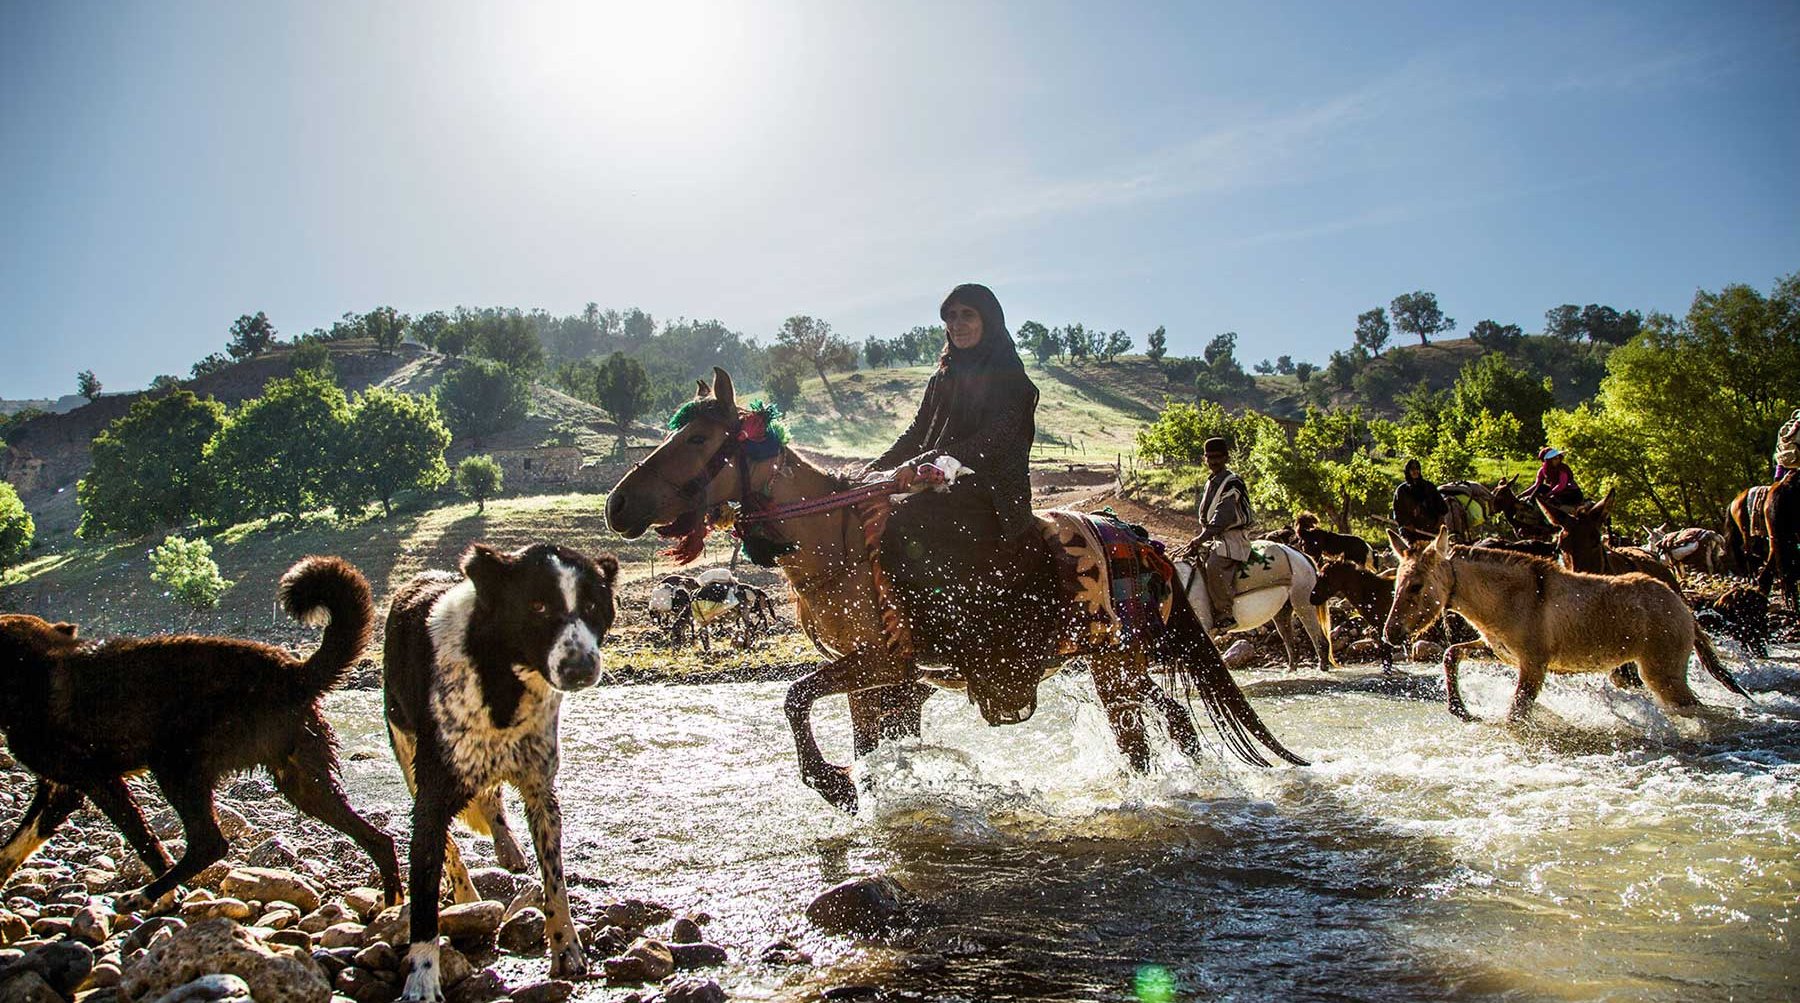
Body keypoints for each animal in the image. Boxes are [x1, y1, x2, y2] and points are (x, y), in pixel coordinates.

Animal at [383, 543, 615, 993]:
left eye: (593, 606)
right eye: (538, 605)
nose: (580, 668)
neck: (502, 675)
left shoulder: (542, 793)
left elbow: (555, 882)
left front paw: (567, 949)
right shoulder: (432, 797)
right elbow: (424, 904)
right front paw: (422, 979)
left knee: (491, 799)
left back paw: (506, 847)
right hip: (405, 747)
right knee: (451, 848)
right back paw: (467, 897)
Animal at [608, 370, 1310, 810]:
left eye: (699, 437)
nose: (618, 506)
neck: (834, 542)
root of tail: (1140, 539)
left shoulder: (885, 662)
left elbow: (795, 697)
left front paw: (834, 784)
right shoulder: (872, 675)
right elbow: (863, 739)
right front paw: (871, 792)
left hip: (1115, 659)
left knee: (1141, 739)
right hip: (1121, 660)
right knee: (1174, 718)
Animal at [1375, 529, 1742, 723]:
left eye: (1416, 586)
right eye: (1396, 586)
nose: (1389, 634)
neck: (1508, 597)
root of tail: (1683, 607)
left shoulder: (1534, 666)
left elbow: (1516, 713)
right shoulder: (1499, 651)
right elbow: (1450, 654)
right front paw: (1459, 709)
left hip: (1663, 674)